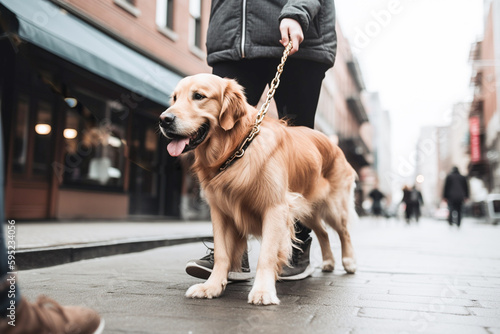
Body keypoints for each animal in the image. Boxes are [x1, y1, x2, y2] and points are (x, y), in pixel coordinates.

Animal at [158, 73, 358, 306]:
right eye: (174, 98)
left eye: (198, 96)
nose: (163, 119)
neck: (237, 149)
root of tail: (333, 143)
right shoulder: (220, 211)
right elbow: (222, 254)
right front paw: (212, 286)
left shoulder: (275, 208)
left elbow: (267, 255)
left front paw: (263, 291)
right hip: (305, 208)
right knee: (324, 232)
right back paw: (328, 262)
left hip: (332, 206)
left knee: (344, 231)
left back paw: (349, 261)